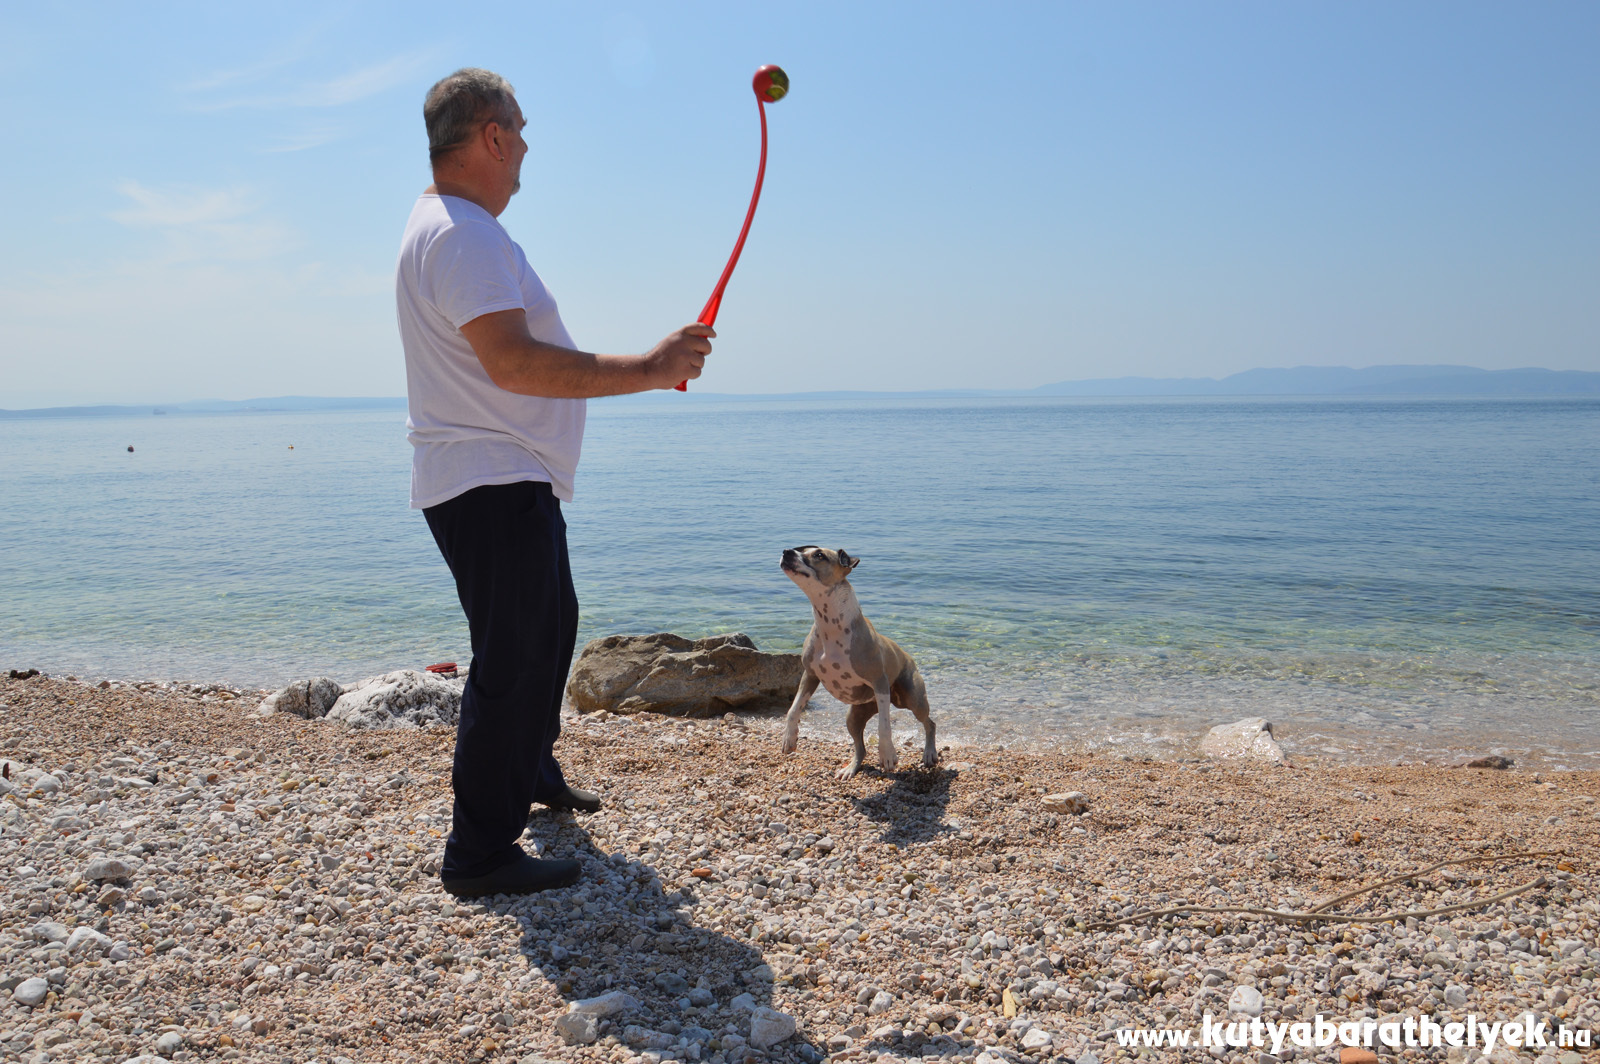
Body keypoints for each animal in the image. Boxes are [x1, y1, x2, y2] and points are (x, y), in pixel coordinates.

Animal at [777, 544, 934, 777]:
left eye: (819, 555)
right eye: (801, 549)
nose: (786, 551)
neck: (830, 623)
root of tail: (907, 656)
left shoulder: (879, 682)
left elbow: (884, 726)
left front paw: (887, 754)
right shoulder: (810, 676)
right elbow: (793, 709)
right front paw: (789, 738)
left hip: (914, 699)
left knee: (929, 723)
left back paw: (929, 754)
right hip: (854, 717)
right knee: (860, 747)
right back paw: (850, 768)